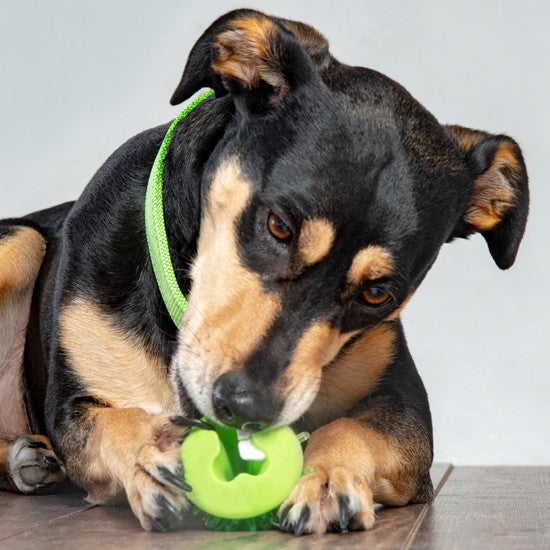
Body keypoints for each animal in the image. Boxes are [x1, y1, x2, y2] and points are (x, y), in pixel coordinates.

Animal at [1, 8, 532, 536]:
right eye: (278, 226)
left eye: (378, 293)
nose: (245, 408)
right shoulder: (72, 407)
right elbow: (117, 421)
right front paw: (152, 452)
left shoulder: (404, 405)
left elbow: (351, 426)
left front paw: (325, 476)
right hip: (18, 244)